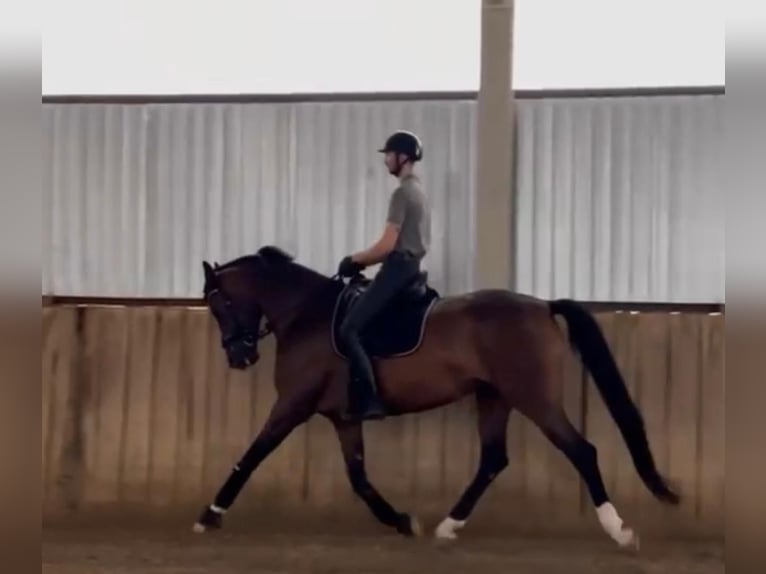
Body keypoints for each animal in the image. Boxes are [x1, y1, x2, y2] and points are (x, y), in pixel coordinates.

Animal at [192, 245, 680, 547]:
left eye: (220, 303)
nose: (240, 356)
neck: (305, 315)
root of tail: (542, 306)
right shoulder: (344, 417)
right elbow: (359, 478)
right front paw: (403, 521)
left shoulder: (293, 405)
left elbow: (252, 455)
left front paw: (210, 514)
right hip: (494, 397)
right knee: (493, 459)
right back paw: (448, 525)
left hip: (534, 398)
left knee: (581, 450)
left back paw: (619, 531)